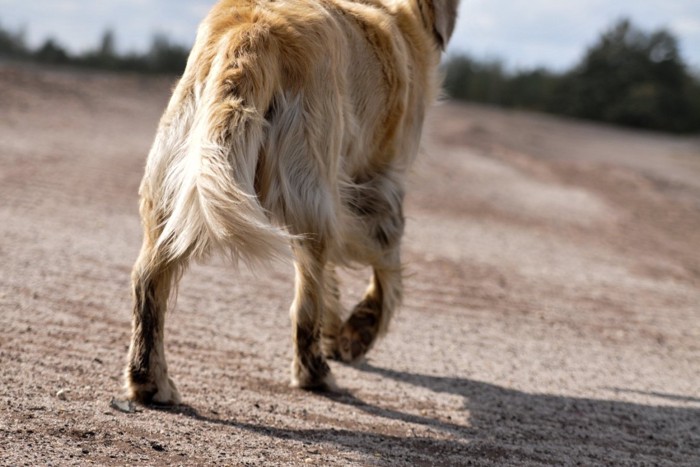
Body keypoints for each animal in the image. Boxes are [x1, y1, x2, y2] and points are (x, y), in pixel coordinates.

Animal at [126, 0, 460, 404]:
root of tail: (253, 30)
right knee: (305, 303)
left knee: (147, 279)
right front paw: (358, 332)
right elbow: (387, 272)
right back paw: (315, 373)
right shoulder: (379, 188)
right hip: (311, 191)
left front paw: (338, 332)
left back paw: (149, 380)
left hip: (171, 186)